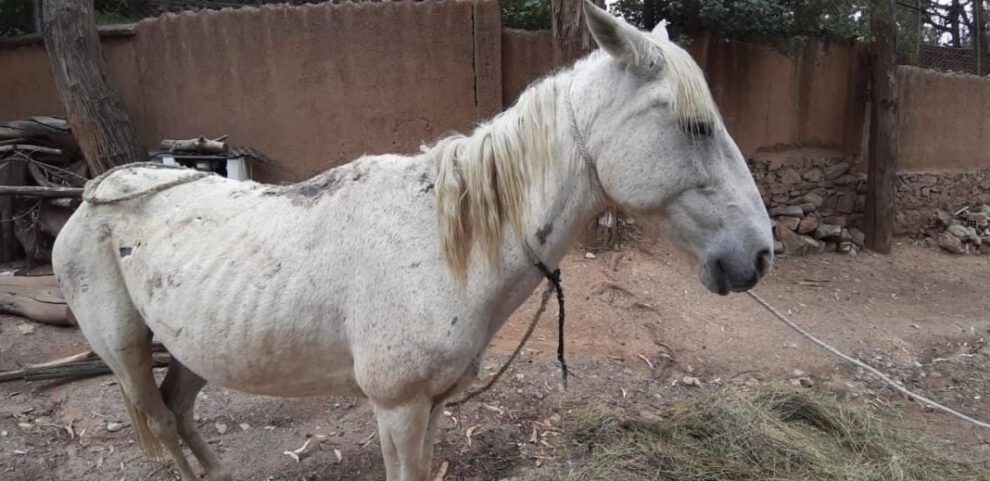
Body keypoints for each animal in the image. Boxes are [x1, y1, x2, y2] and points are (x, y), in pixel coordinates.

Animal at [51, 2, 773, 480]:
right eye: (696, 126)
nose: (759, 254)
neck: (440, 246)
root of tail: (96, 194)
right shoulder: (396, 408)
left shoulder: (433, 405)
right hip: (126, 354)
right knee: (160, 421)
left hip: (193, 347)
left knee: (180, 413)